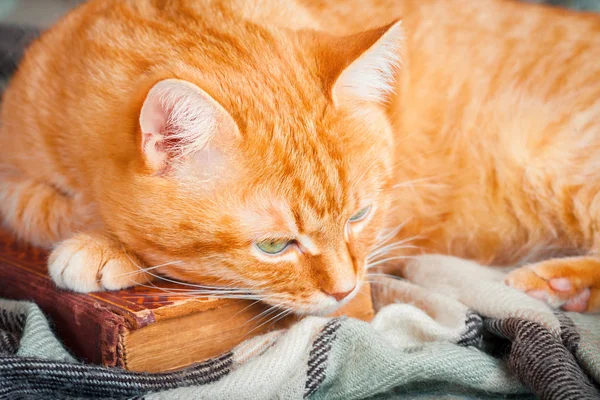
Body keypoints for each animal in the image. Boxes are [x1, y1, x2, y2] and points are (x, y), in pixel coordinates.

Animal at [0, 0, 596, 312]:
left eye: (360, 215)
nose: (346, 291)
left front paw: (105, 246)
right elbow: (31, 204)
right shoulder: (12, 162)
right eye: (273, 245)